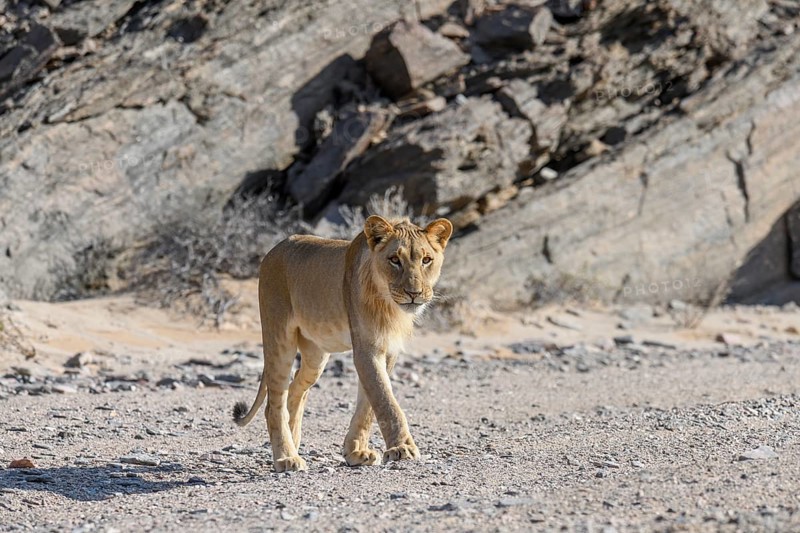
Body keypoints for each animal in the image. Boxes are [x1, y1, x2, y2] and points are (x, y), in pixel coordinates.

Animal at [231, 215, 453, 472]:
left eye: (426, 260)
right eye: (394, 260)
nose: (414, 293)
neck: (388, 304)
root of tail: (273, 250)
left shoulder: (386, 351)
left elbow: (369, 404)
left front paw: (355, 452)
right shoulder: (366, 349)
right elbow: (385, 400)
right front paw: (402, 447)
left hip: (315, 356)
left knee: (296, 387)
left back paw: (294, 442)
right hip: (278, 337)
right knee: (274, 404)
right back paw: (286, 457)